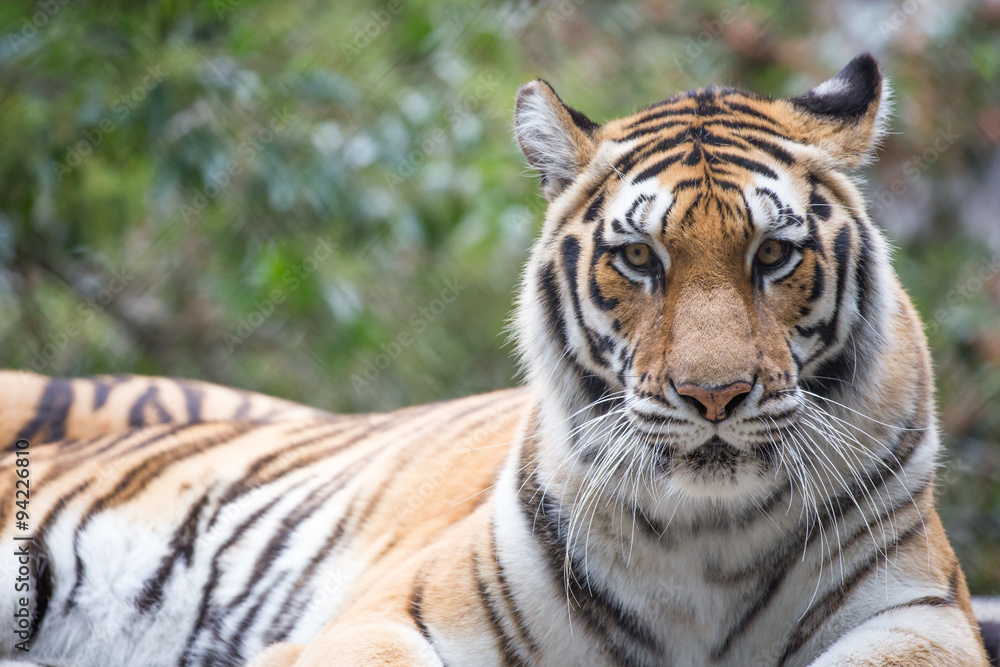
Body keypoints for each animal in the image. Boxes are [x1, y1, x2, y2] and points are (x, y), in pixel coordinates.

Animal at [0, 53, 996, 667]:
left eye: (774, 255)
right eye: (640, 259)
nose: (714, 396)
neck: (707, 542)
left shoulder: (919, 616)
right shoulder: (379, 619)